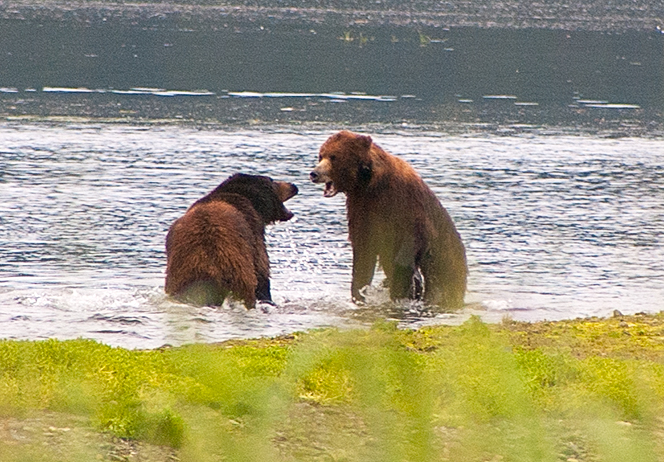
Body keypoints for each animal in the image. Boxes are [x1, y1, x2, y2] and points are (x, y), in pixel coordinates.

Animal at [166, 172, 298, 306]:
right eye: (272, 181)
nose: (293, 186)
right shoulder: (255, 236)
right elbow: (262, 273)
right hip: (238, 271)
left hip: (183, 277)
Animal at [312, 131, 466, 310]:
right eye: (321, 155)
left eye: (334, 156)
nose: (315, 173)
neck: (369, 183)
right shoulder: (362, 210)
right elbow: (363, 257)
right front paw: (359, 295)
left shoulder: (403, 206)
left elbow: (406, 251)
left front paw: (403, 289)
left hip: (447, 256)